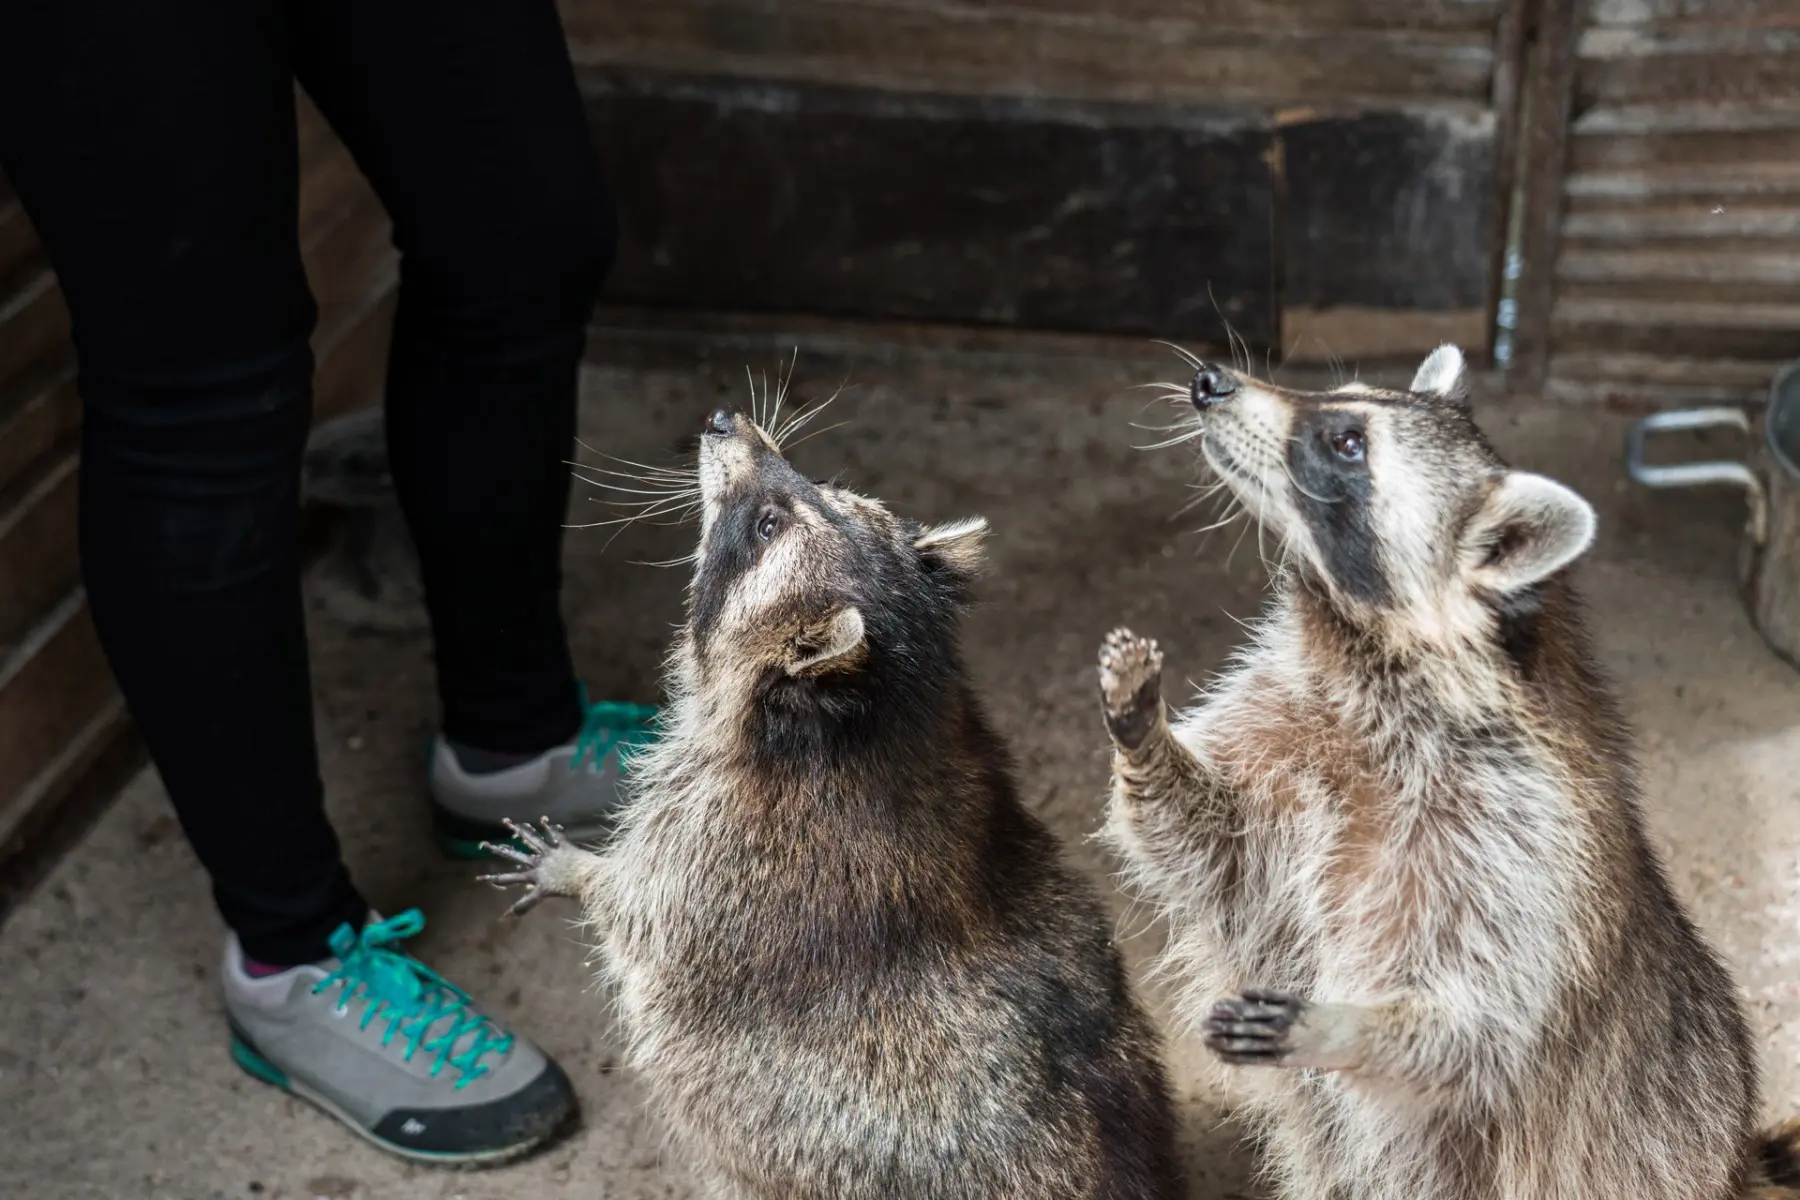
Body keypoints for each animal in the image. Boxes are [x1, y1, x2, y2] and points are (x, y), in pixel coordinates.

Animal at [484, 407, 1184, 1199]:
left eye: (767, 526)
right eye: (818, 482)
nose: (725, 419)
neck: (886, 719)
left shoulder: (711, 853)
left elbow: (638, 915)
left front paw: (573, 870)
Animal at [1095, 346, 1800, 1199]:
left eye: (1347, 444)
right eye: (1336, 396)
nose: (1210, 383)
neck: (1355, 643)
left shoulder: (1520, 834)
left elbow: (1484, 1025)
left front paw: (1359, 1027)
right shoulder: (1285, 725)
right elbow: (1206, 843)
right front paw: (1146, 739)